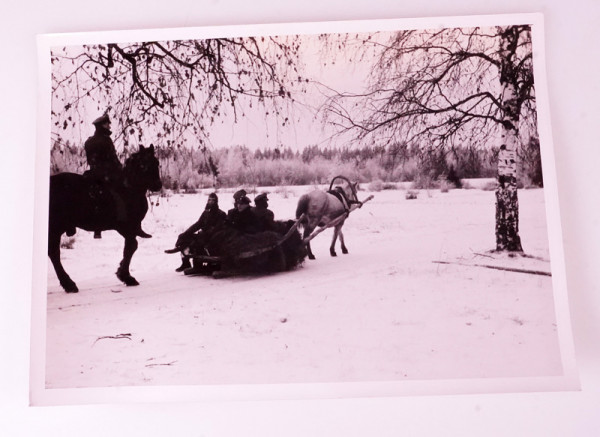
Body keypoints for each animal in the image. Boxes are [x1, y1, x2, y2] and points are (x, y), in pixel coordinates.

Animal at [48, 145, 162, 292]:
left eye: (156, 163)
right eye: (142, 165)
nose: (157, 185)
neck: (127, 188)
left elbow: (130, 247)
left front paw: (122, 272)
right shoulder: (126, 227)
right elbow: (131, 246)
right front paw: (125, 275)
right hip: (55, 228)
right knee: (54, 253)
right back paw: (69, 283)